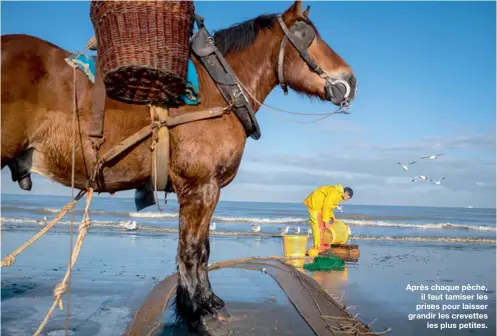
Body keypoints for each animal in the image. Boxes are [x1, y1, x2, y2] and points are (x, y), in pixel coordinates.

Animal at [0, 1, 356, 334]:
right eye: (306, 35)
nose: (350, 79)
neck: (215, 92)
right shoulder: (200, 187)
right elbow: (193, 251)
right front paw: (196, 311)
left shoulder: (206, 190)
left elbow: (203, 249)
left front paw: (206, 302)